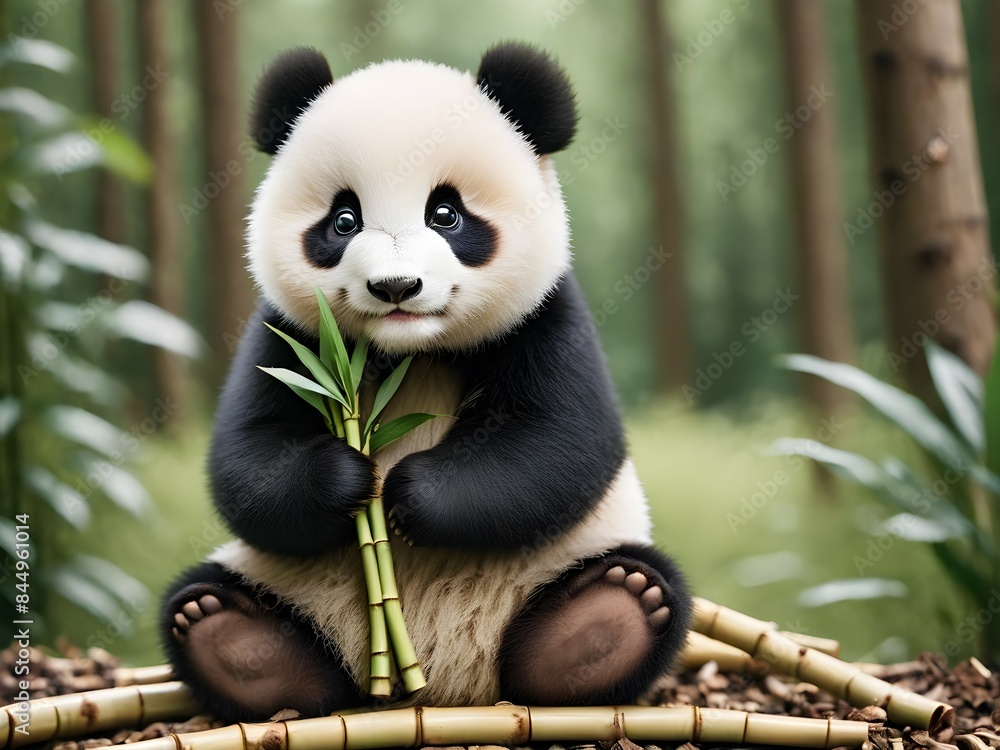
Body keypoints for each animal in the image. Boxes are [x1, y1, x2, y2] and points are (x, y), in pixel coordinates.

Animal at [162, 42, 692, 724]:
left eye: (446, 214)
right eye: (343, 220)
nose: (395, 286)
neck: (413, 353)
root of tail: (453, 687)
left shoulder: (546, 315)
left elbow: (559, 442)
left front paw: (408, 496)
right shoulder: (289, 334)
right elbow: (248, 456)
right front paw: (349, 480)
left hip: (561, 562)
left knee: (635, 591)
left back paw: (604, 621)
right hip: (285, 586)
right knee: (213, 604)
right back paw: (235, 640)